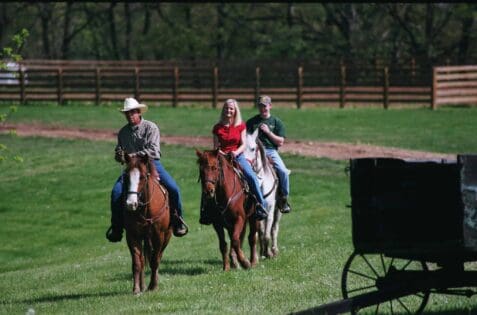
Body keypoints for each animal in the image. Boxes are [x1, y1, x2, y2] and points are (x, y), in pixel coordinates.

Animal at [122, 154, 171, 296]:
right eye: (126, 176)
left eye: (142, 177)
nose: (130, 204)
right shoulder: (132, 236)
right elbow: (137, 262)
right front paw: (136, 289)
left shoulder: (159, 236)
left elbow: (155, 260)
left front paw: (153, 286)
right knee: (143, 260)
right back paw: (143, 285)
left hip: (166, 237)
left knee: (158, 256)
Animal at [244, 130, 280, 258]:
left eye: (253, 149)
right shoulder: (256, 213)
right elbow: (260, 233)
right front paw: (261, 253)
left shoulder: (269, 210)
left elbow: (267, 234)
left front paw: (268, 253)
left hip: (278, 211)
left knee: (274, 228)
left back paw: (274, 250)